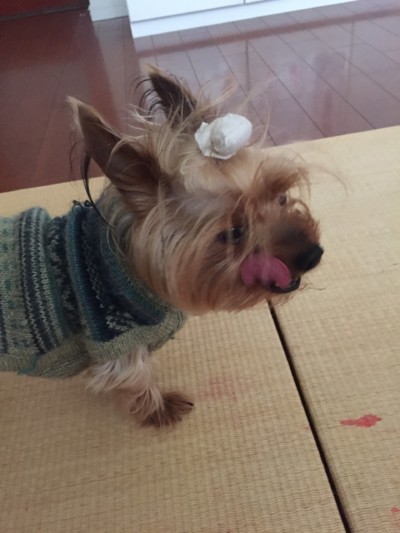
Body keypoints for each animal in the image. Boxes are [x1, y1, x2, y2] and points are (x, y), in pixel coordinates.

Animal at [0, 66, 323, 426]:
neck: (125, 269)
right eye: (233, 233)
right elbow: (135, 379)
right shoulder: (115, 345)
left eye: (281, 197)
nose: (313, 254)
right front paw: (160, 410)